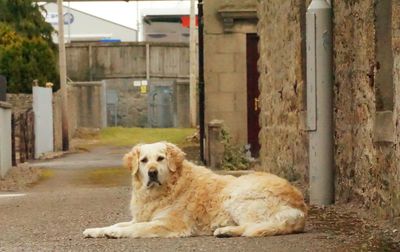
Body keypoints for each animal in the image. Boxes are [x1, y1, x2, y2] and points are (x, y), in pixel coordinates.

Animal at [82, 142, 306, 238]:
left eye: (160, 158)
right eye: (144, 161)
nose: (152, 173)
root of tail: (301, 207)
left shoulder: (168, 224)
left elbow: (134, 229)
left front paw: (113, 233)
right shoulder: (141, 217)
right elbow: (120, 223)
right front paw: (96, 230)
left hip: (238, 196)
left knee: (253, 226)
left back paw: (225, 230)